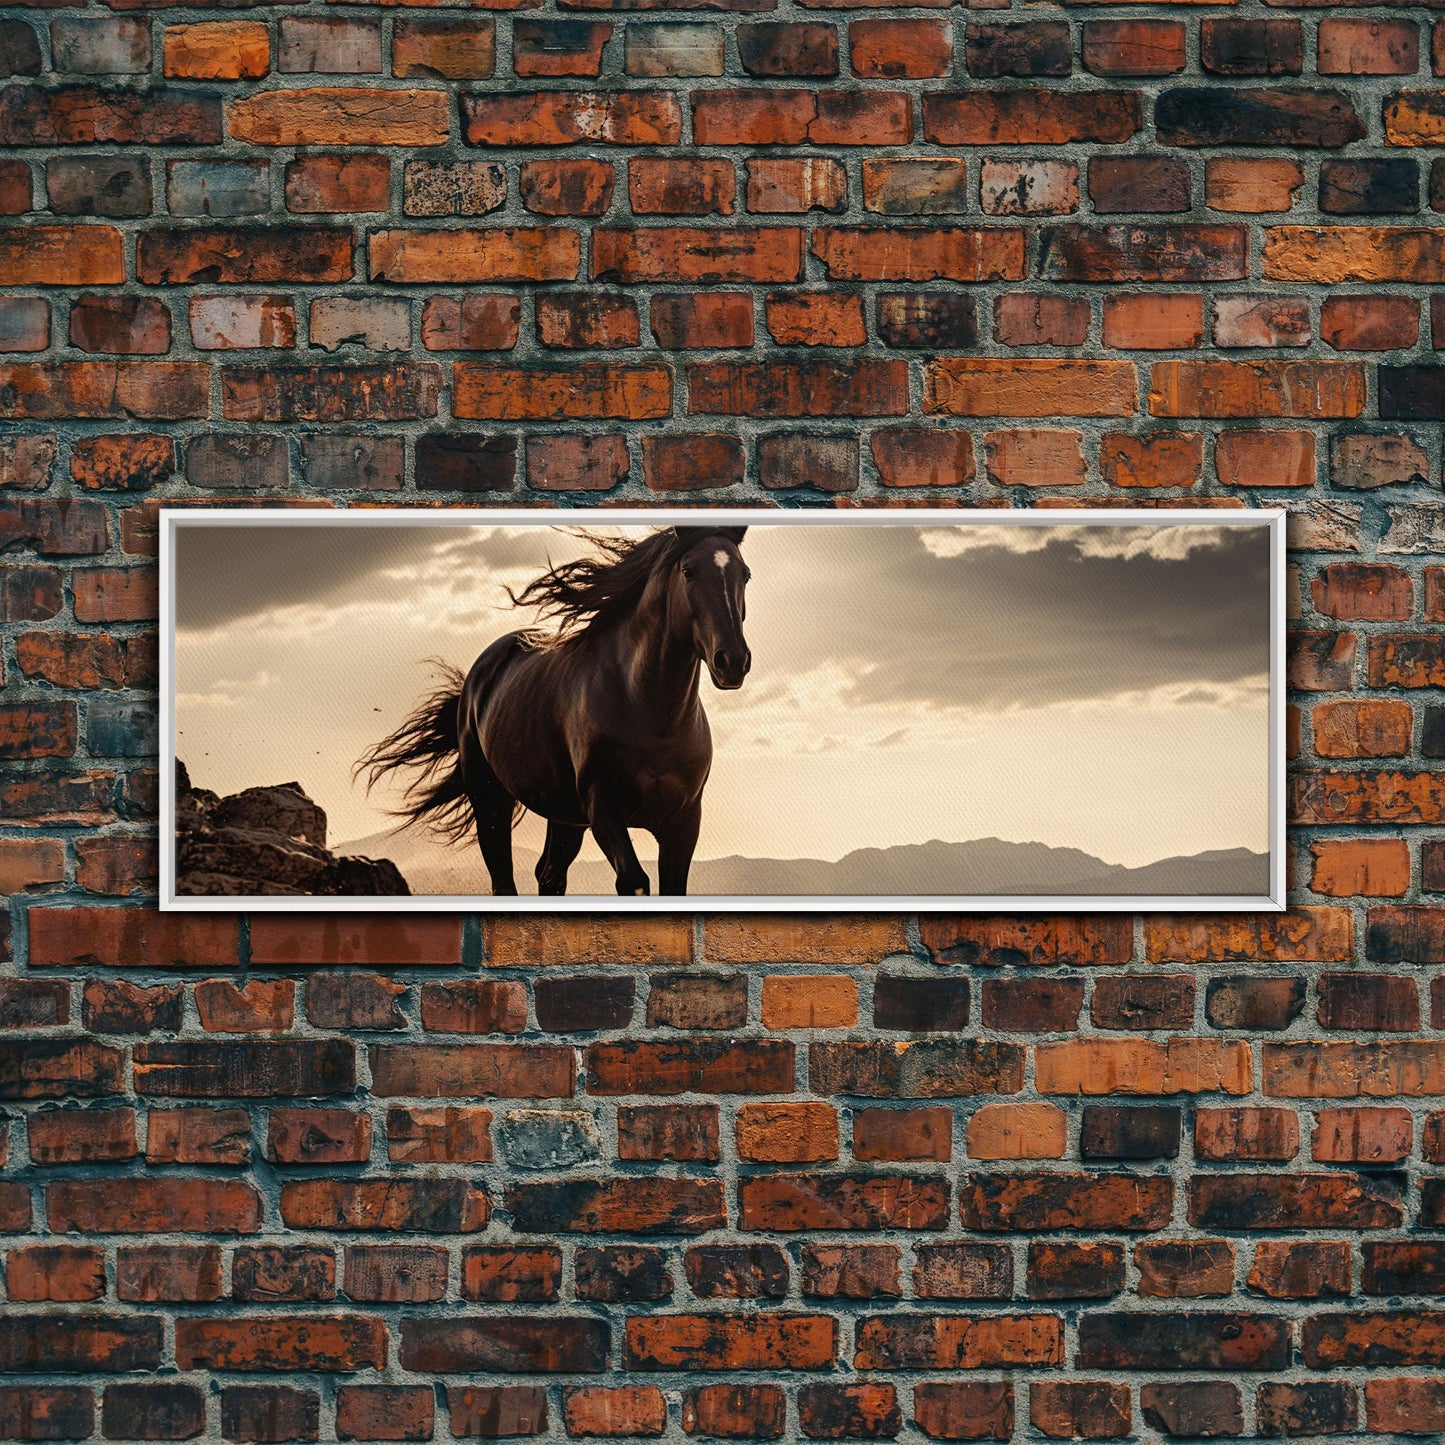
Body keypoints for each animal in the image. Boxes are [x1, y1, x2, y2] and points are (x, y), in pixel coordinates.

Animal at [357, 525, 751, 897]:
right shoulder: (603, 808)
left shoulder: (683, 822)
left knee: (549, 874)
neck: (652, 718)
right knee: (505, 879)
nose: (732, 661)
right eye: (688, 571)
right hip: (491, 802)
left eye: (744, 574)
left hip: (564, 818)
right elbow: (634, 881)